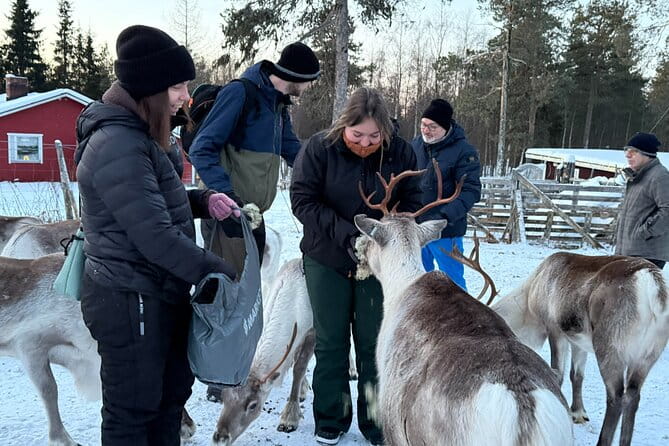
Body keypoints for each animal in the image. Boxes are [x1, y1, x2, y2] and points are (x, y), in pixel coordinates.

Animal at [212, 258, 315, 445]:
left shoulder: (312, 331)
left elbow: (299, 368)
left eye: (253, 405)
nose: (220, 438)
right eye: (224, 396)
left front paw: (289, 418)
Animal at [491, 252, 669, 446]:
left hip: (609, 348)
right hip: (647, 355)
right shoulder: (578, 341)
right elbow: (576, 375)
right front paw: (578, 413)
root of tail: (651, 281)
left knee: (616, 396)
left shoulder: (554, 329)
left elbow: (558, 374)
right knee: (633, 395)